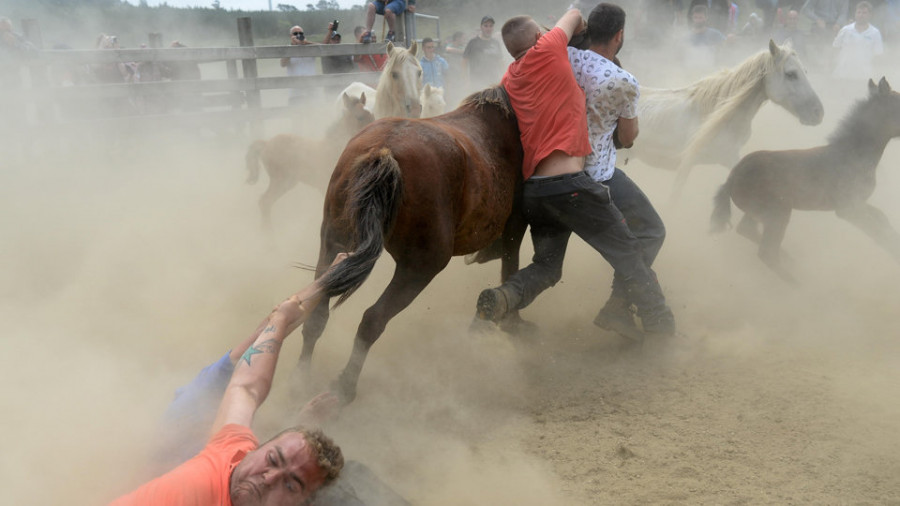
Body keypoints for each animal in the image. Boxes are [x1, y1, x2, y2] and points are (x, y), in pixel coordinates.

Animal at [302, 87, 528, 404]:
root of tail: (384, 151)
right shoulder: (516, 223)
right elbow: (511, 265)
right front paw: (514, 322)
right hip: (420, 267)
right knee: (372, 319)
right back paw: (344, 387)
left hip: (333, 245)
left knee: (316, 315)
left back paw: (298, 383)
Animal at [712, 77, 900, 282]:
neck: (853, 154)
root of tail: (732, 178)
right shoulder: (848, 208)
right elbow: (878, 231)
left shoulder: (859, 203)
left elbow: (882, 221)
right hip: (778, 213)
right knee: (766, 252)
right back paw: (798, 283)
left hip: (759, 212)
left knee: (747, 230)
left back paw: (790, 261)